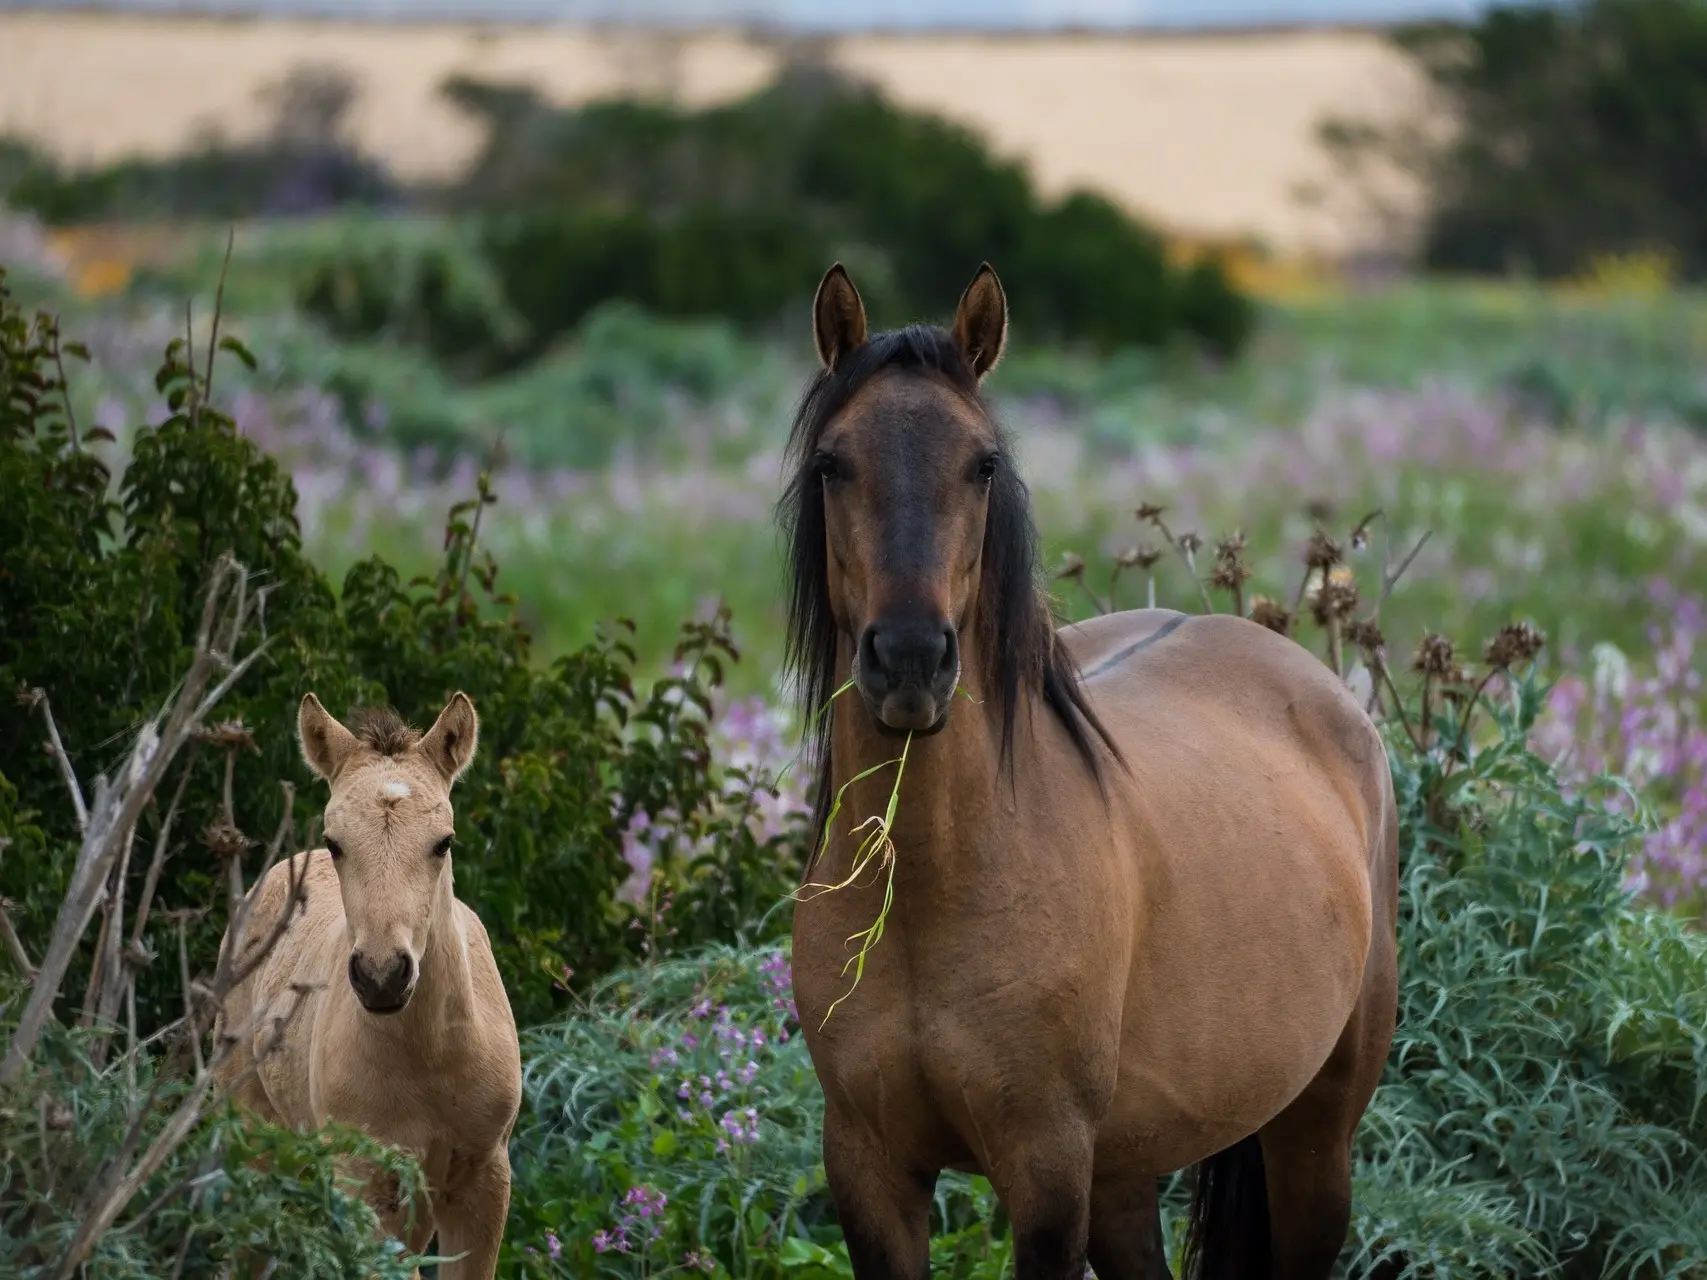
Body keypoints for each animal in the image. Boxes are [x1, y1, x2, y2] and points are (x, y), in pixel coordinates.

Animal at [781, 262, 1392, 1280]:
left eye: (982, 464)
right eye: (832, 463)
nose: (908, 660)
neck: (932, 892)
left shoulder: (1046, 1172)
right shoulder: (869, 1169)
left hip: (1315, 1139)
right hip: (1125, 1169)